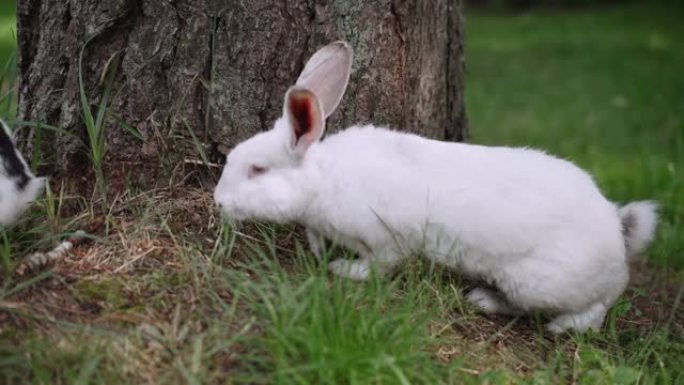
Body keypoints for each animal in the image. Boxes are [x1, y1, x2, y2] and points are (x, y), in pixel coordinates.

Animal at [214, 40, 656, 332]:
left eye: (257, 170)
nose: (218, 201)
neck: (324, 180)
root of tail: (616, 232)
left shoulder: (389, 238)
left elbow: (379, 265)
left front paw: (345, 270)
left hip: (540, 284)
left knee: (593, 306)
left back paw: (553, 323)